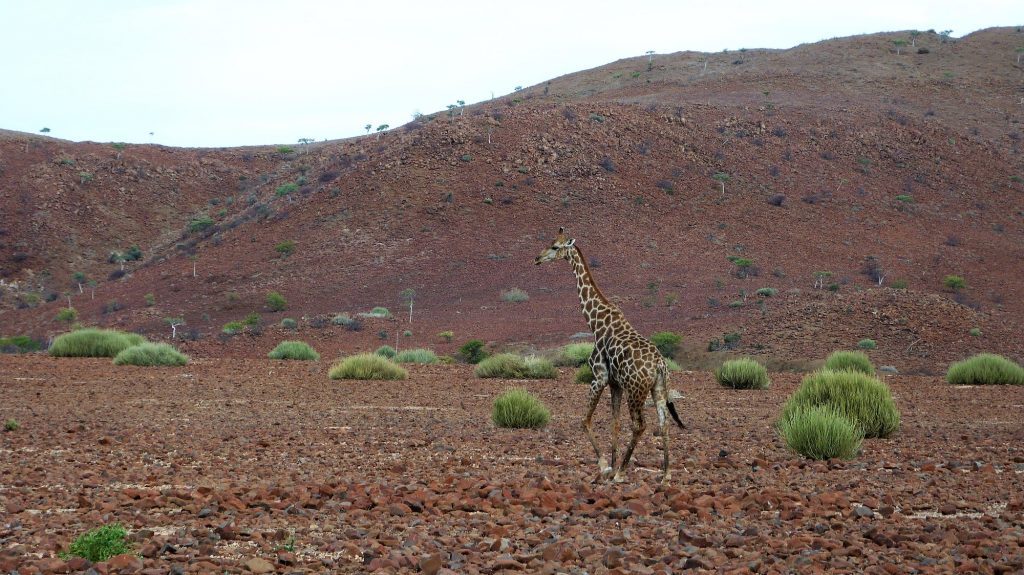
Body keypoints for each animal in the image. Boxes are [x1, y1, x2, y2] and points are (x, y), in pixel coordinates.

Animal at [536, 226, 679, 480]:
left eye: (554, 246)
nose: (537, 258)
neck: (595, 322)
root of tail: (660, 365)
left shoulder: (599, 377)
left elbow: (585, 420)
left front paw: (606, 465)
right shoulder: (615, 384)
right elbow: (615, 423)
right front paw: (611, 464)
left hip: (636, 390)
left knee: (640, 425)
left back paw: (623, 471)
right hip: (658, 389)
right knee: (663, 423)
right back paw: (665, 474)